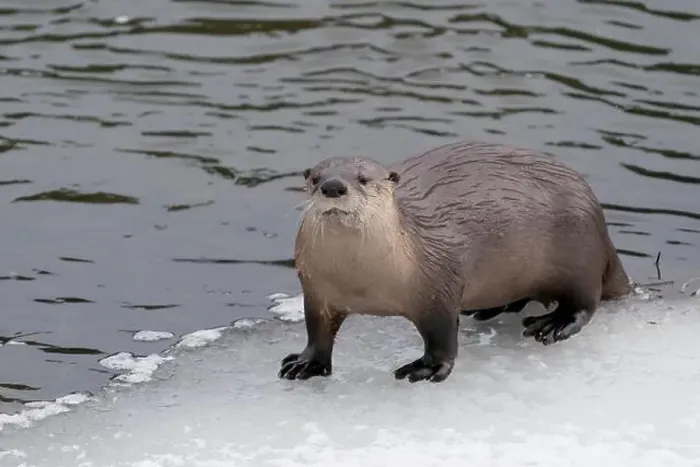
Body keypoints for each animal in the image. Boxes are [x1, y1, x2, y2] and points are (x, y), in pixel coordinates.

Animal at [278, 141, 631, 383]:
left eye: (363, 179)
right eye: (315, 178)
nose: (333, 186)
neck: (361, 282)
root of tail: (601, 228)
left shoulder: (437, 287)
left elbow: (442, 337)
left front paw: (427, 368)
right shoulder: (316, 292)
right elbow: (317, 332)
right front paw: (306, 362)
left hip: (580, 253)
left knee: (586, 301)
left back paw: (553, 324)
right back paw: (492, 309)